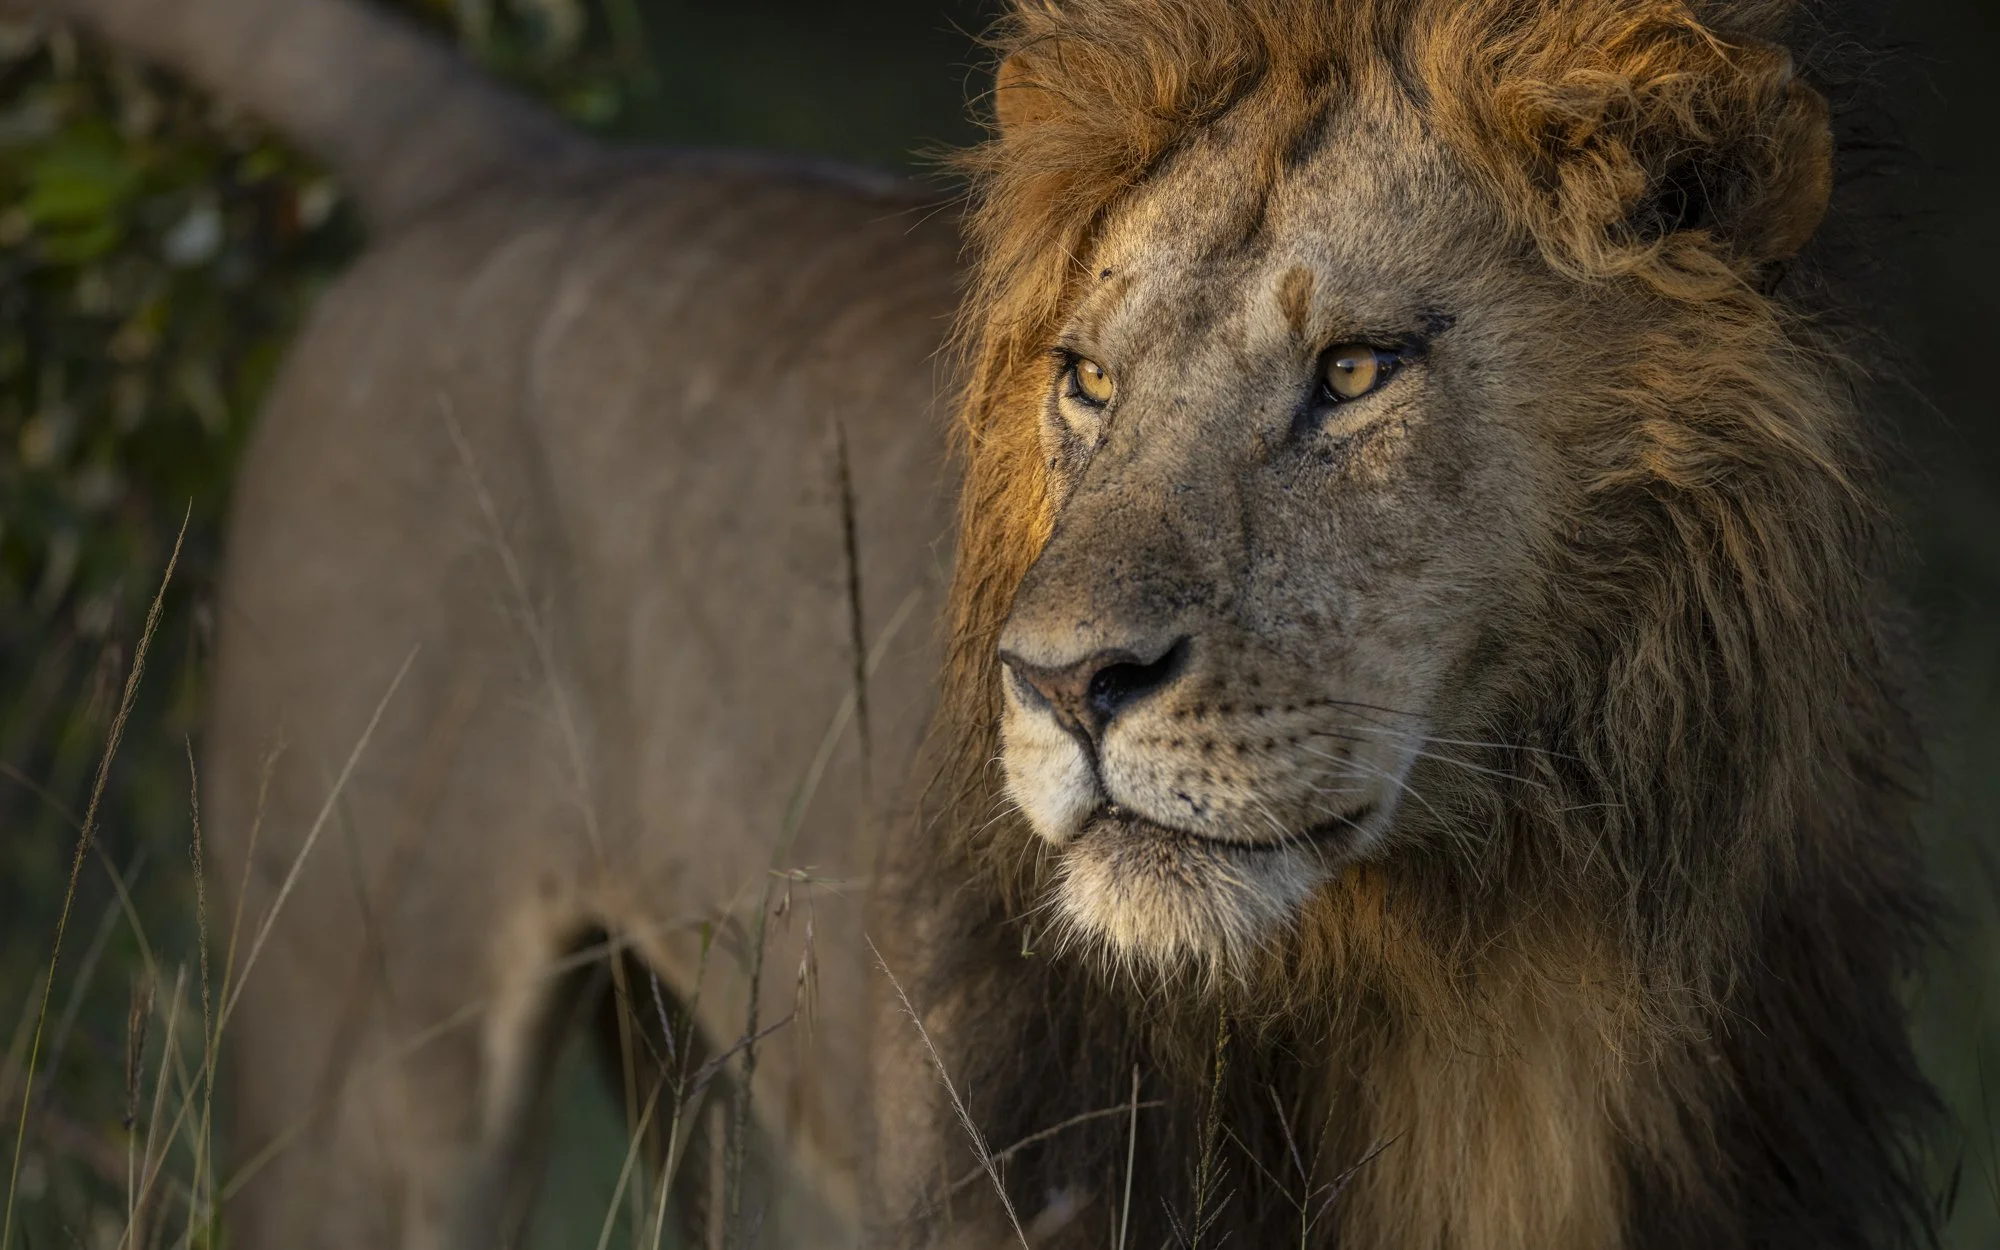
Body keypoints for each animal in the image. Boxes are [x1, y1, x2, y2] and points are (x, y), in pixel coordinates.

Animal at [32, 0, 1937, 1246]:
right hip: (364, 1072)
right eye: (1085, 378)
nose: (1063, 682)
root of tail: (516, 164)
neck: (1503, 938)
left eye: (1355, 372)